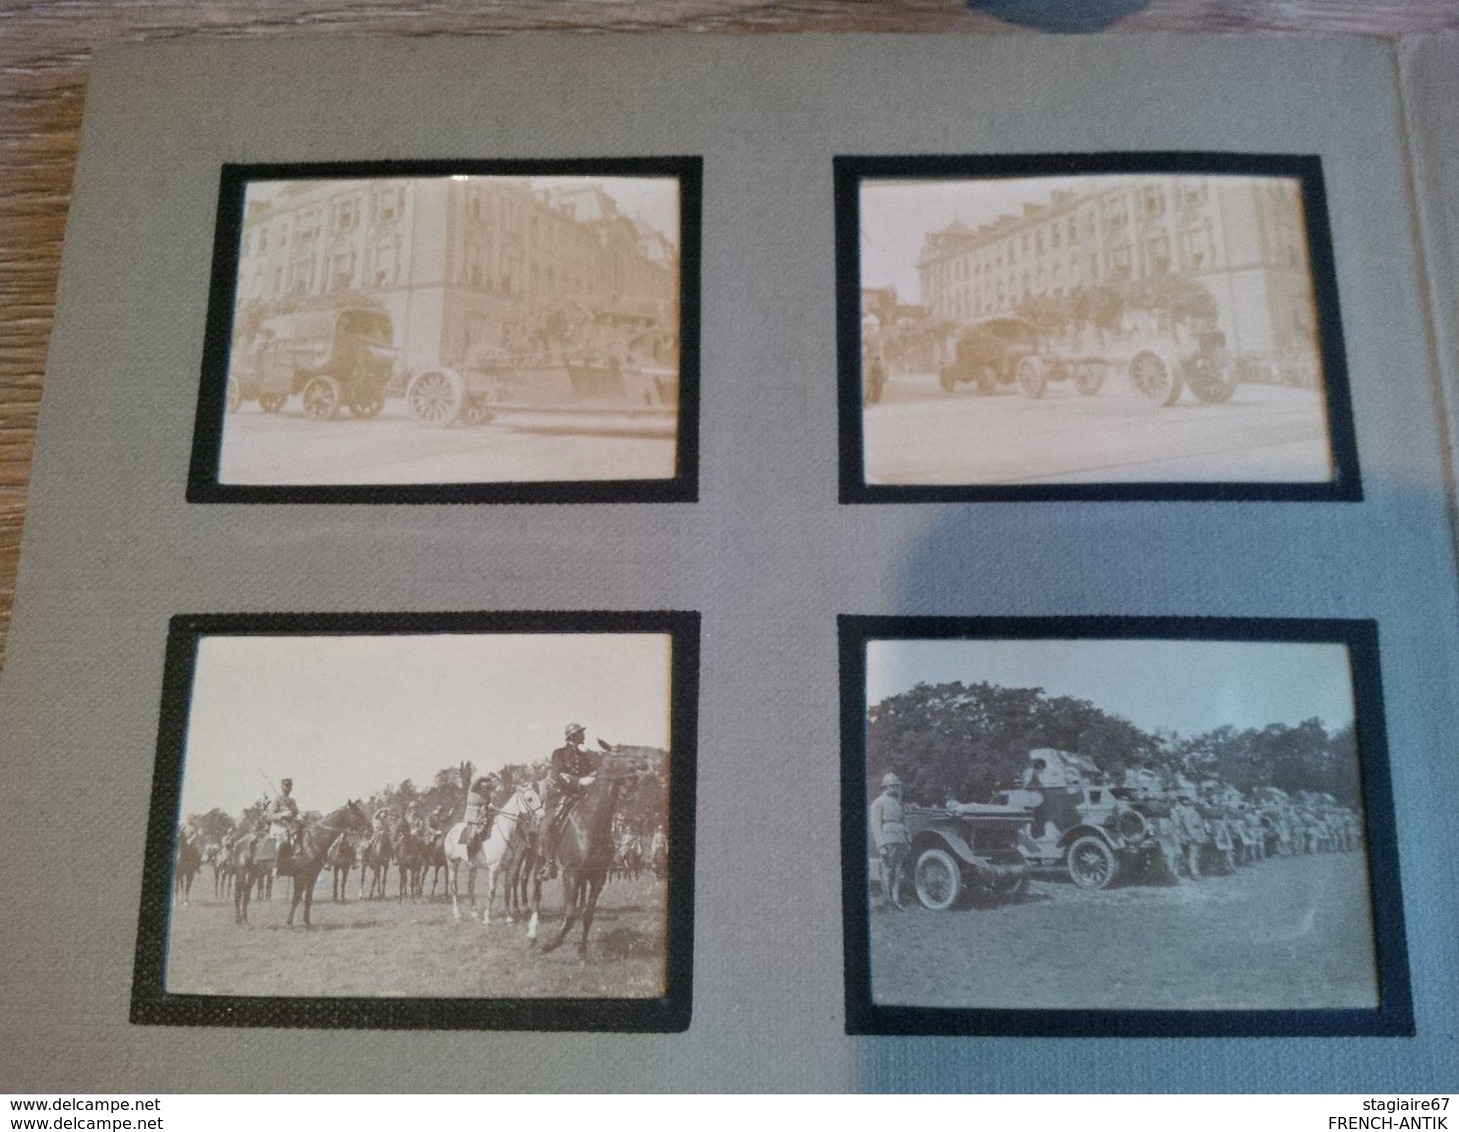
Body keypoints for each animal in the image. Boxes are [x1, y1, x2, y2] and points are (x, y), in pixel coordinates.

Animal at [440, 781, 545, 921]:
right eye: (529, 799)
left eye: (538, 797)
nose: (542, 816)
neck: (506, 833)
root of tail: (451, 829)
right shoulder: (494, 869)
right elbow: (492, 891)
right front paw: (487, 917)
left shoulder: (511, 868)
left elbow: (507, 891)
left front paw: (509, 917)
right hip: (452, 863)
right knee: (454, 888)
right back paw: (457, 914)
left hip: (472, 867)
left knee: (470, 887)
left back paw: (474, 913)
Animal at [536, 752, 650, 956]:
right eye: (615, 759)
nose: (641, 762)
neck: (592, 823)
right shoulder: (570, 875)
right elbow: (570, 915)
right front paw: (550, 945)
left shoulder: (598, 877)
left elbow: (588, 915)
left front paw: (582, 950)